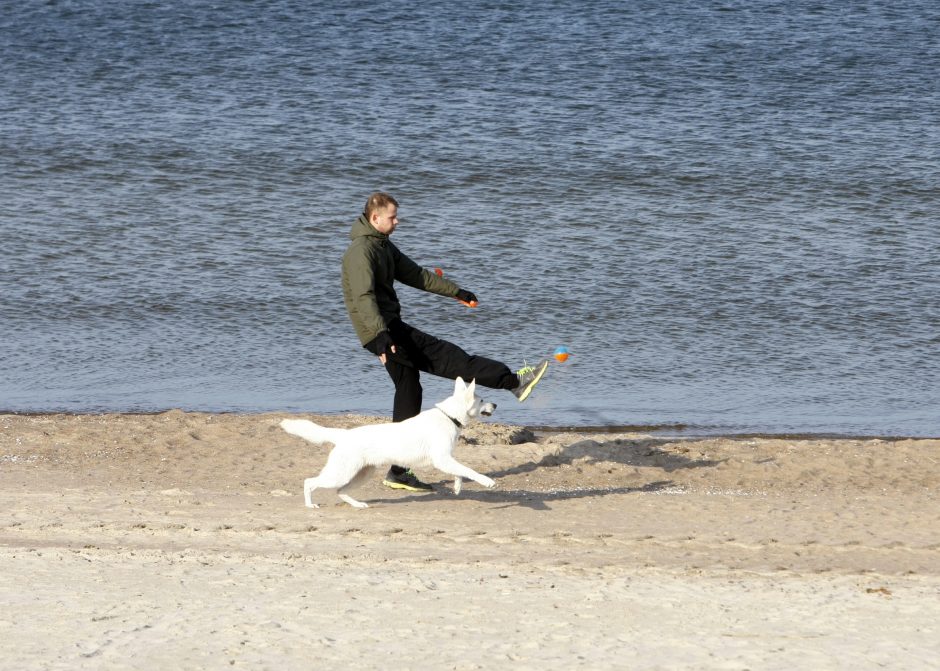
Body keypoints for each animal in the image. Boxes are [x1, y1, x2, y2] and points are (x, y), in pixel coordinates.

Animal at [280, 378, 496, 510]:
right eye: (482, 400)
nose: (495, 404)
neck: (449, 416)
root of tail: (344, 435)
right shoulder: (442, 459)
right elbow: (469, 470)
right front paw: (487, 481)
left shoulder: (446, 459)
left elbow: (460, 472)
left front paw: (458, 488)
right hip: (339, 473)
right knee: (310, 482)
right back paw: (310, 505)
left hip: (362, 474)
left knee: (340, 491)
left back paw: (358, 505)